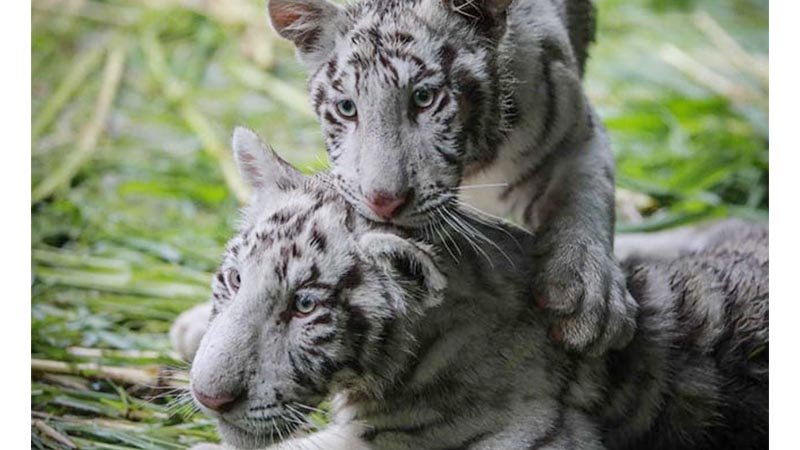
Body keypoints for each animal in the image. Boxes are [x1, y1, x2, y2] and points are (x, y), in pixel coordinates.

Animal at [264, 0, 638, 355]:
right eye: (346, 108)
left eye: (424, 98)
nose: (384, 202)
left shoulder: (577, 135)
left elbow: (588, 198)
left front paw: (591, 296)